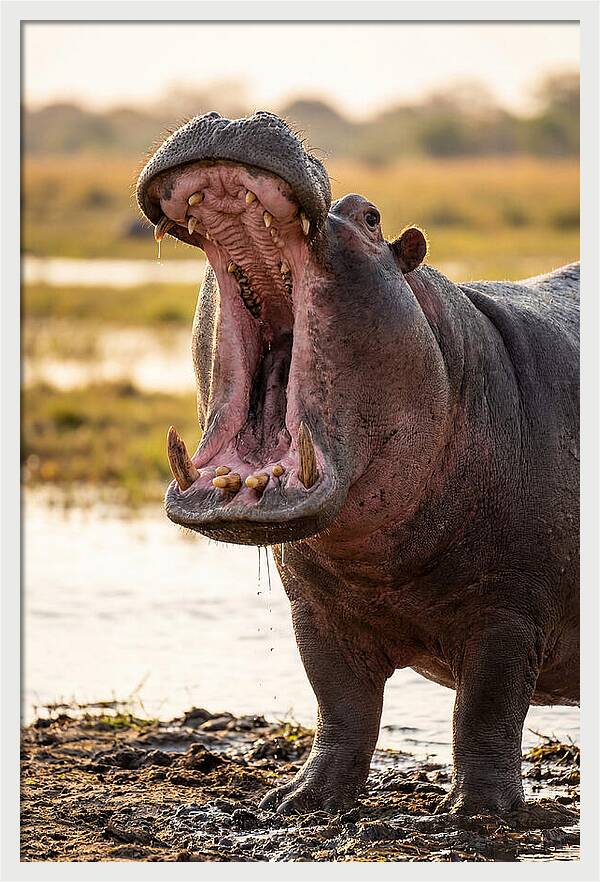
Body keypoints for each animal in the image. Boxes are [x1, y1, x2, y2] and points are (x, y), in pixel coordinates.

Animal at [136, 111, 579, 815]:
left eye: (371, 217)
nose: (235, 116)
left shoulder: (509, 614)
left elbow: (486, 711)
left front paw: (479, 814)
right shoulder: (315, 612)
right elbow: (341, 704)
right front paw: (299, 801)